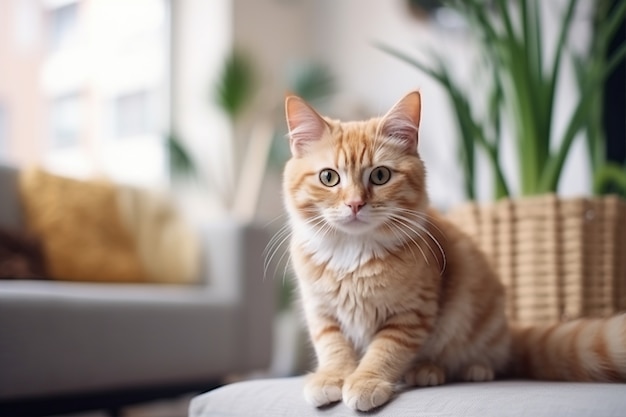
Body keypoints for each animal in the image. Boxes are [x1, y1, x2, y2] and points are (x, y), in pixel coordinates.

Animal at [282, 89, 624, 412]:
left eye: (380, 176)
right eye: (329, 177)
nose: (355, 204)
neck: (353, 254)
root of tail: (508, 333)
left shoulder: (411, 314)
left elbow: (385, 351)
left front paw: (366, 381)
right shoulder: (322, 312)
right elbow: (333, 348)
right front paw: (331, 377)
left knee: (488, 361)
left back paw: (446, 369)